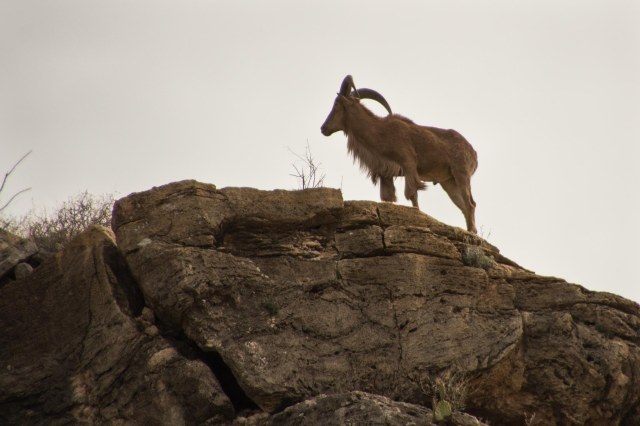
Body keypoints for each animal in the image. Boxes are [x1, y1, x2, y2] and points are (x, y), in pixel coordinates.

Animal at [320, 75, 479, 233]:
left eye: (336, 104)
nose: (323, 128)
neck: (379, 131)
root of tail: (474, 153)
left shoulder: (408, 163)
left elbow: (411, 193)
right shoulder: (385, 173)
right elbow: (388, 196)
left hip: (461, 174)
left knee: (470, 204)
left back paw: (471, 232)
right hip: (448, 182)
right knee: (464, 206)